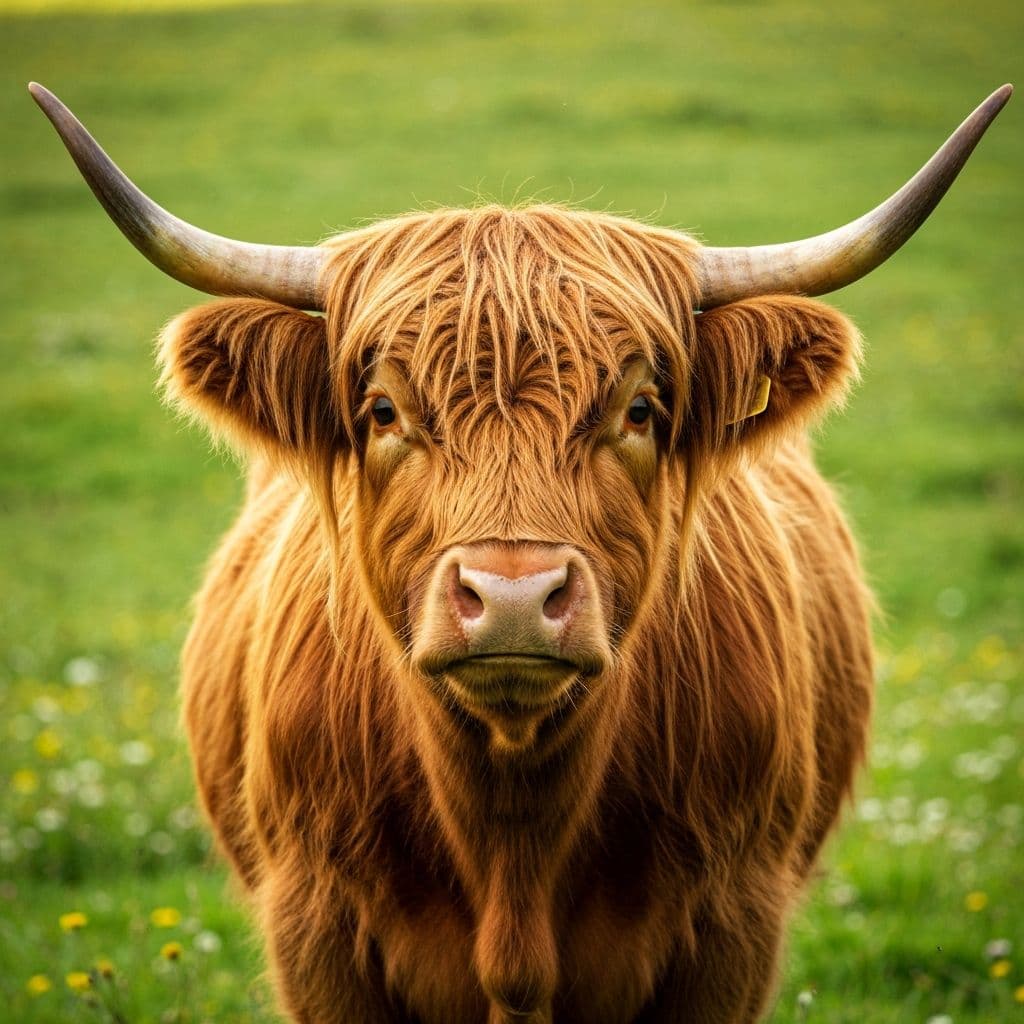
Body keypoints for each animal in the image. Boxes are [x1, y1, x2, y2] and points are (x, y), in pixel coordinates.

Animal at [31, 82, 1011, 1024]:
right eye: (383, 411)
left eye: (641, 410)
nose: (511, 597)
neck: (513, 834)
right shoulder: (315, 932)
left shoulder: (735, 925)